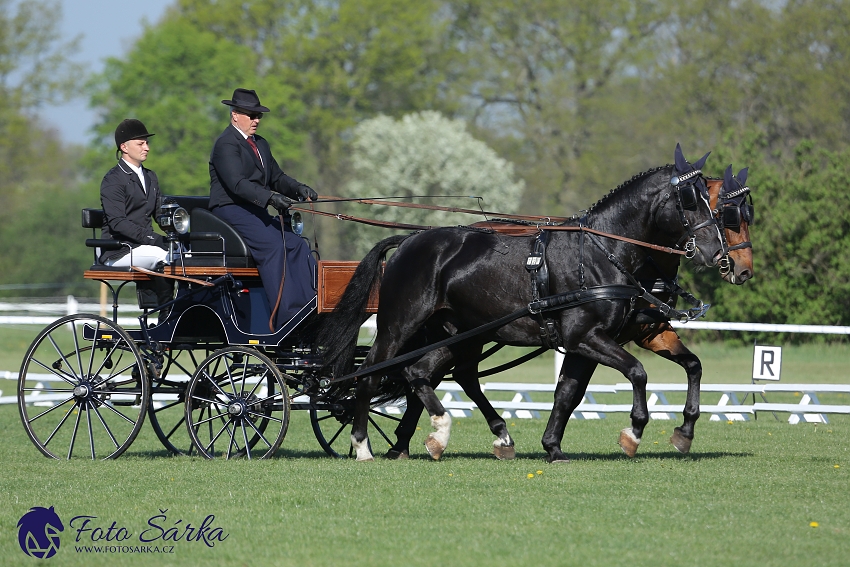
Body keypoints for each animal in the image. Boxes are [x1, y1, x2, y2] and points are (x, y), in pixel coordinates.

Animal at [316, 146, 724, 462]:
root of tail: (408, 240)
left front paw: (554, 448)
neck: (600, 250)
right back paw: (363, 445)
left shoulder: (589, 341)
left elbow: (569, 393)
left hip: (459, 333)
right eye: (691, 199)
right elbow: (637, 372)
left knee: (426, 373)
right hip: (400, 324)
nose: (717, 252)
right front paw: (633, 432)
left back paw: (455, 434)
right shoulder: (584, 337)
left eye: (713, 201)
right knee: (372, 371)